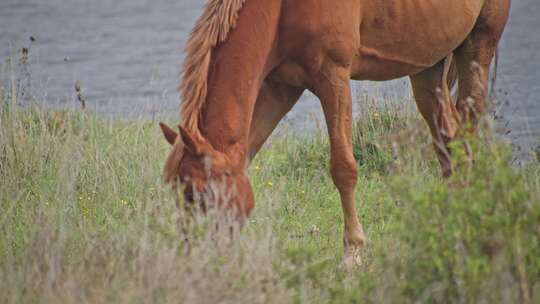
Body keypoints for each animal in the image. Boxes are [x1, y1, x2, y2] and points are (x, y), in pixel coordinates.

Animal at [159, 0, 510, 266]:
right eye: (177, 194)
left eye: (198, 194)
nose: (192, 258)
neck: (281, 9)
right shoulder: (281, 87)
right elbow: (247, 155)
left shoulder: (333, 77)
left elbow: (343, 168)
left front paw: (352, 255)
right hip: (428, 68)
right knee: (449, 144)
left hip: (479, 44)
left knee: (468, 132)